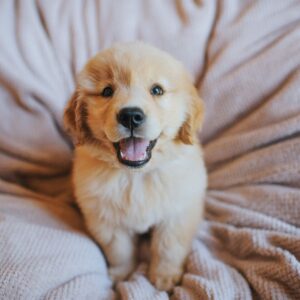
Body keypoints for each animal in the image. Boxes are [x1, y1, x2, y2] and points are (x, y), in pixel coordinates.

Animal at [64, 41, 207, 290]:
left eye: (157, 90)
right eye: (107, 91)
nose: (131, 116)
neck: (136, 176)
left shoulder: (178, 214)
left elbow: (168, 247)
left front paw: (164, 276)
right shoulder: (106, 220)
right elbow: (120, 251)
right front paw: (123, 275)